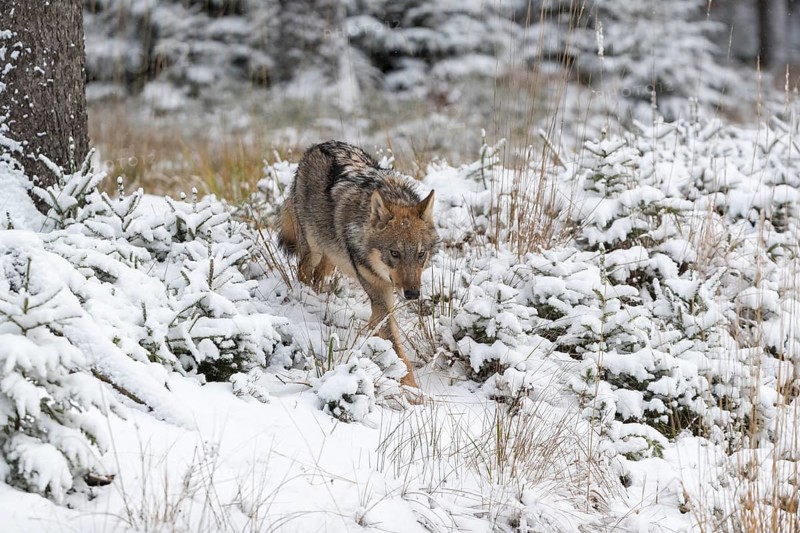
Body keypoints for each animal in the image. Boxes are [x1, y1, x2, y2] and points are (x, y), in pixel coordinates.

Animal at [278, 141, 438, 389]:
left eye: (421, 254)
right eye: (395, 253)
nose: (413, 294)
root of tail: (317, 146)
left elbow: (379, 330)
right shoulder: (379, 295)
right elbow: (397, 350)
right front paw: (412, 390)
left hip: (330, 258)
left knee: (318, 277)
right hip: (312, 251)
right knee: (303, 273)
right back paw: (305, 298)